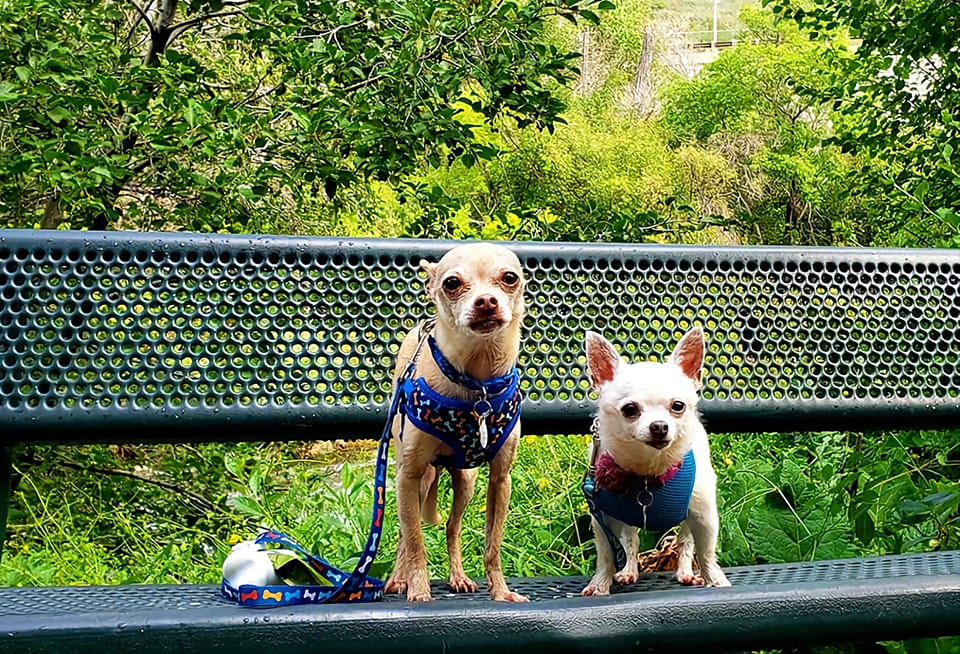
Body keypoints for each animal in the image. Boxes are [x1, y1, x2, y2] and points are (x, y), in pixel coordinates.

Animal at [384, 243, 528, 602]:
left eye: (510, 278)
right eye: (451, 283)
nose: (486, 301)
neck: (477, 382)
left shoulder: (500, 480)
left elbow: (493, 546)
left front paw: (501, 592)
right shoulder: (408, 477)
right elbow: (416, 542)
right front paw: (418, 590)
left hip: (466, 482)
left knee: (452, 527)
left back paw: (458, 577)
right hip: (415, 480)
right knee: (404, 534)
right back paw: (398, 578)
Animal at [581, 327, 730, 595]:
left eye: (678, 406)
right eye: (630, 409)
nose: (659, 426)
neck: (648, 472)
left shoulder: (704, 517)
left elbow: (705, 553)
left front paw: (716, 581)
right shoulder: (602, 519)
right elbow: (606, 555)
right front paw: (600, 584)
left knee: (685, 540)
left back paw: (685, 572)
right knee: (630, 540)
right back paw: (629, 570)